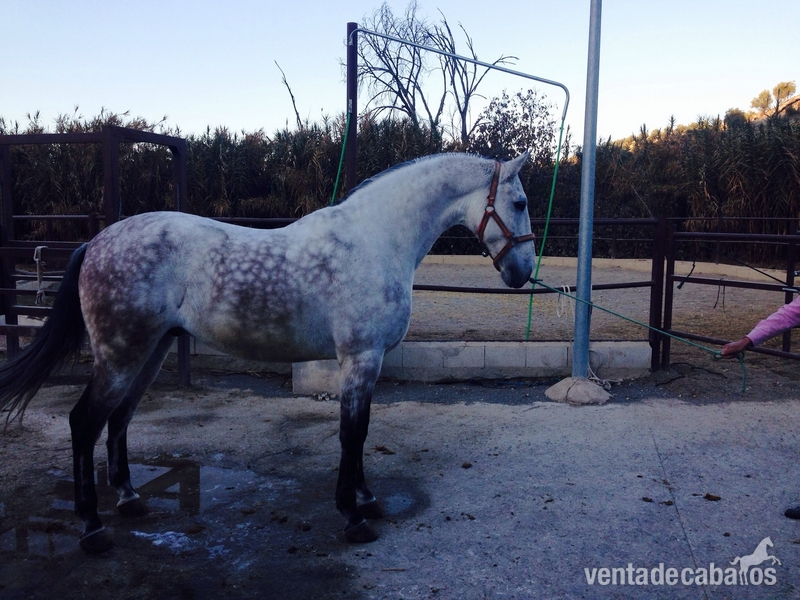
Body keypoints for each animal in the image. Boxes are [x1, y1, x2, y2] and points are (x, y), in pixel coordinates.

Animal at [0, 151, 535, 553]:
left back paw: (130, 499)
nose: (523, 272)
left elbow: (360, 434)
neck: (376, 240)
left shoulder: (366, 364)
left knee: (120, 418)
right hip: (119, 354)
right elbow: (352, 434)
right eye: (520, 201)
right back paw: (92, 528)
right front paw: (352, 516)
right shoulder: (360, 359)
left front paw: (365, 499)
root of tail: (95, 241)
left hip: (149, 352)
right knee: (84, 422)